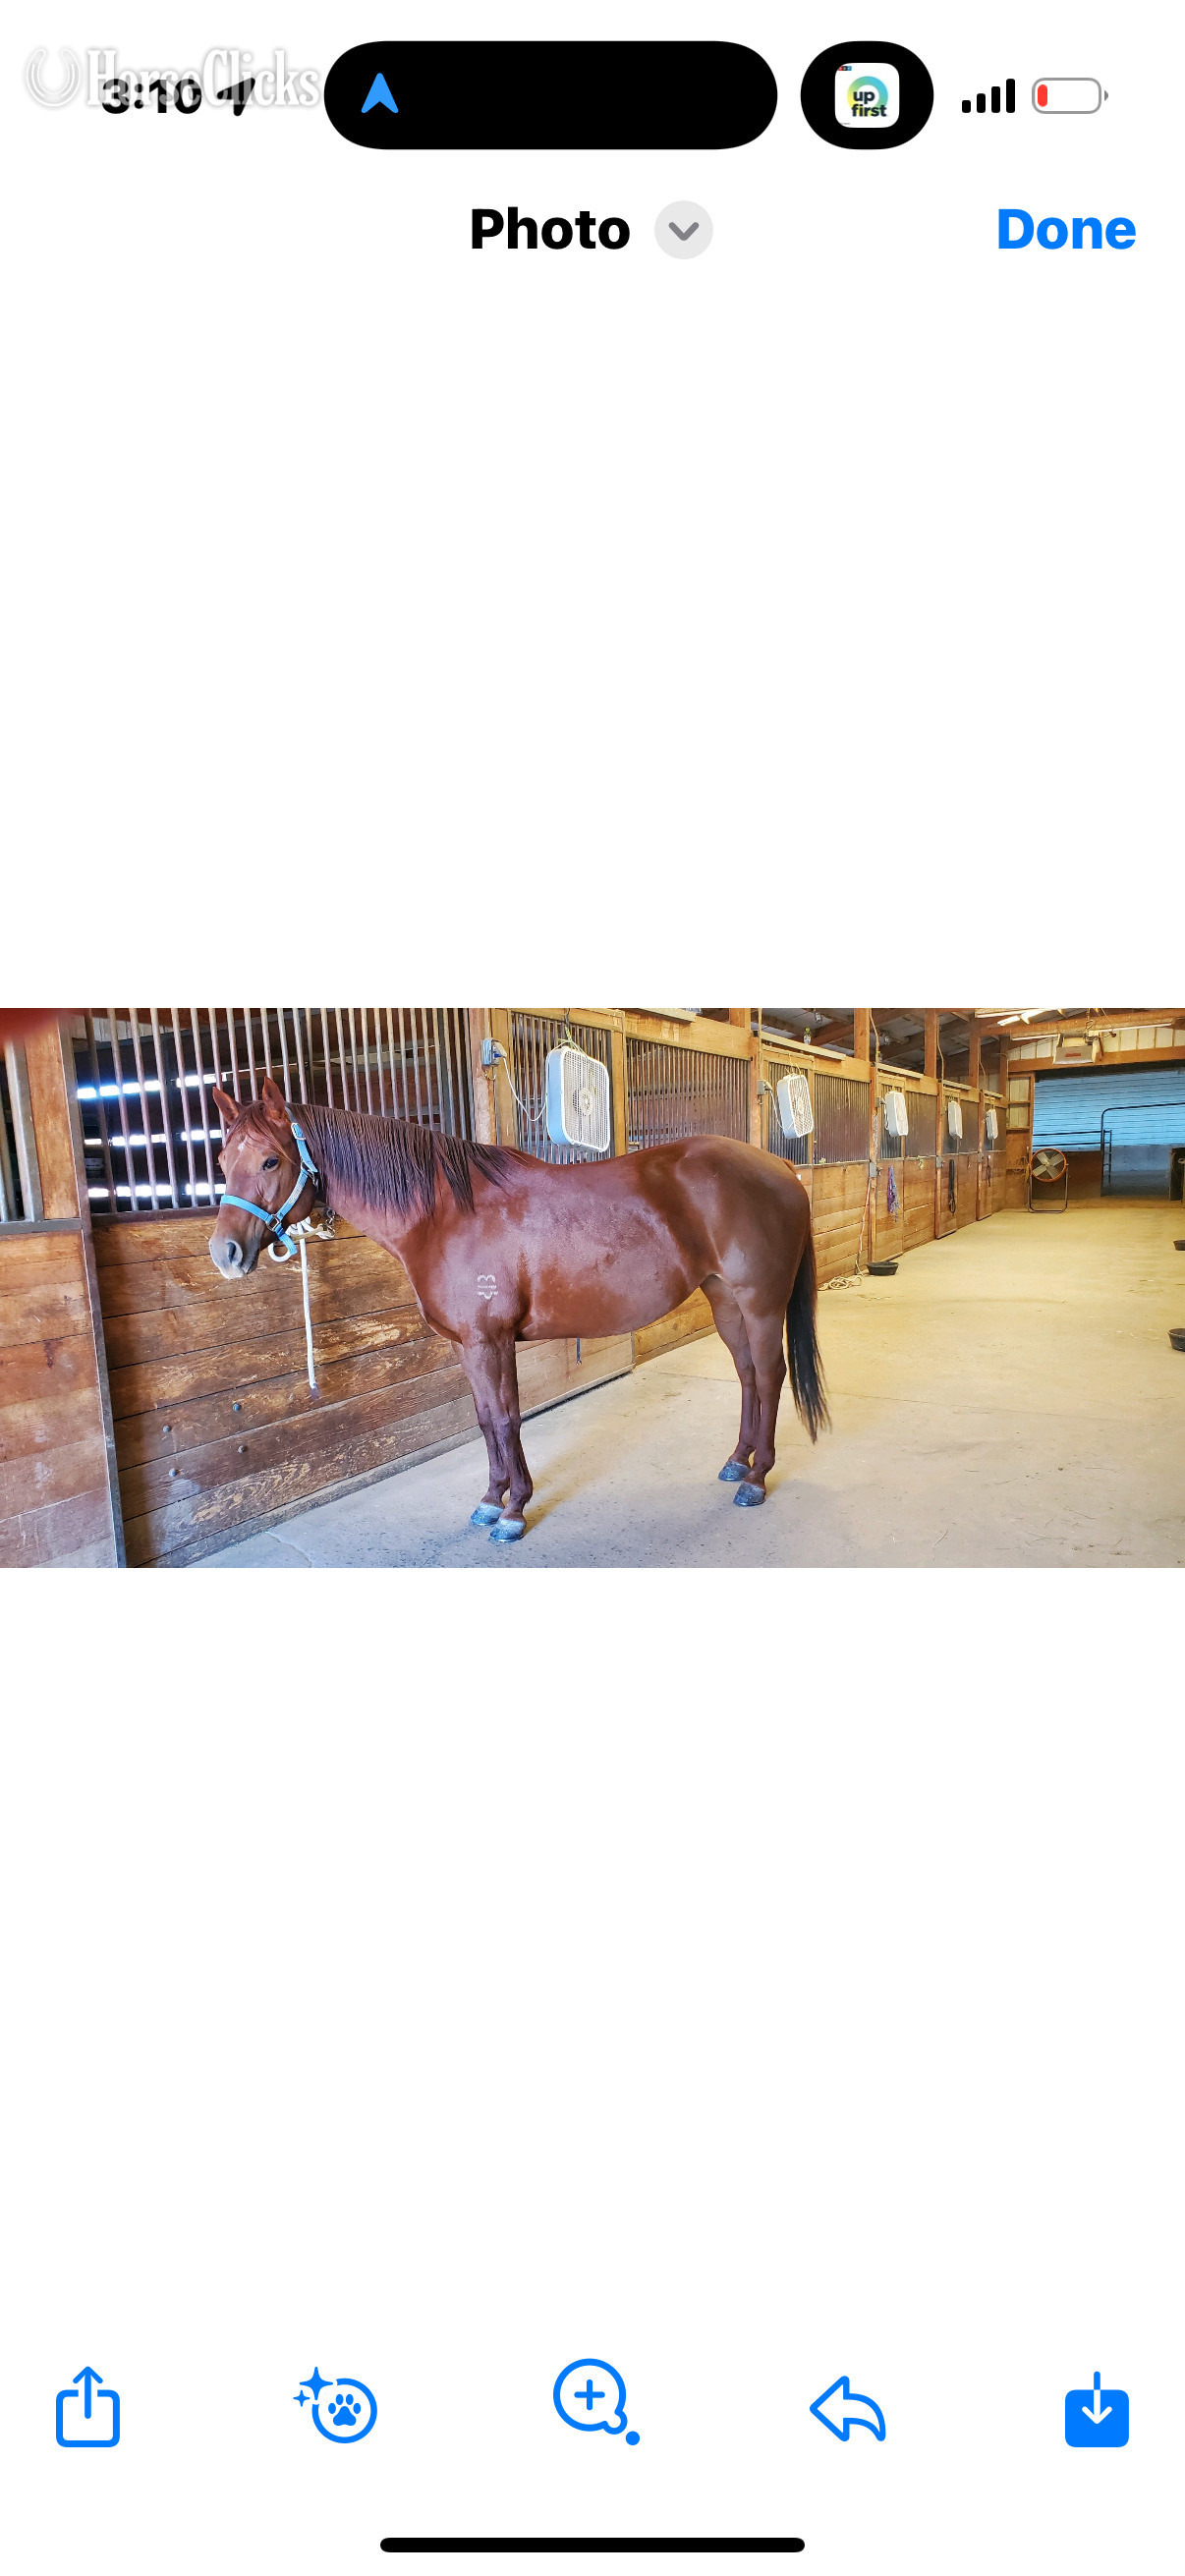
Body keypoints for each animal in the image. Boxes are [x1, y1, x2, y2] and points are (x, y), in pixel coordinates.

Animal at [208, 1074, 829, 1542]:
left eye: (269, 1161)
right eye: (220, 1159)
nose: (226, 1254)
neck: (445, 1214)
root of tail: (782, 1170)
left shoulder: (492, 1339)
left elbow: (508, 1419)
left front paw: (511, 1513)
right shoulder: (468, 1345)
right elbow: (487, 1419)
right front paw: (491, 1500)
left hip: (760, 1303)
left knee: (769, 1375)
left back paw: (756, 1479)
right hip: (725, 1299)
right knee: (746, 1375)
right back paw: (737, 1462)